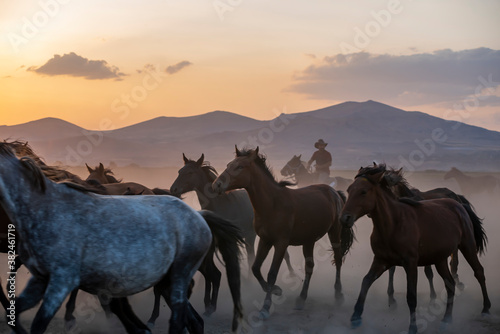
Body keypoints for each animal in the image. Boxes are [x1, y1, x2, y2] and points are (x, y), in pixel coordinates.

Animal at [213, 146, 354, 318]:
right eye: (229, 165)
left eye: (240, 167)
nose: (217, 185)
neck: (272, 204)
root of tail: (334, 192)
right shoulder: (265, 240)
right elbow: (255, 268)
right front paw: (276, 290)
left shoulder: (281, 243)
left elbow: (272, 273)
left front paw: (266, 307)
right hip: (308, 240)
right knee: (309, 267)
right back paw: (301, 299)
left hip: (334, 233)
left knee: (338, 260)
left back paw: (338, 294)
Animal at [340, 164, 488, 334]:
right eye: (349, 190)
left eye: (363, 191)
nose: (344, 218)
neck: (394, 224)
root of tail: (459, 205)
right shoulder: (381, 260)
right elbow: (366, 281)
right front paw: (356, 316)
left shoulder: (410, 264)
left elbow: (411, 296)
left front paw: (413, 327)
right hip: (439, 260)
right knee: (449, 284)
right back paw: (446, 319)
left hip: (467, 246)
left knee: (478, 272)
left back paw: (486, 309)